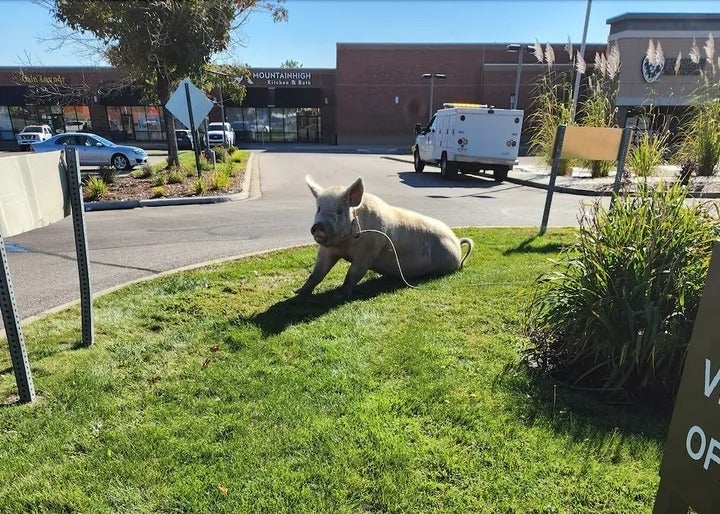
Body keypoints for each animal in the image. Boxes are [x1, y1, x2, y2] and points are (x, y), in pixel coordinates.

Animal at [292, 175, 472, 298]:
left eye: (339, 211)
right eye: (319, 209)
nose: (318, 226)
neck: (344, 245)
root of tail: (457, 242)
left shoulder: (367, 253)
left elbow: (352, 274)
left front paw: (339, 295)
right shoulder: (326, 251)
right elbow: (316, 273)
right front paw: (297, 292)